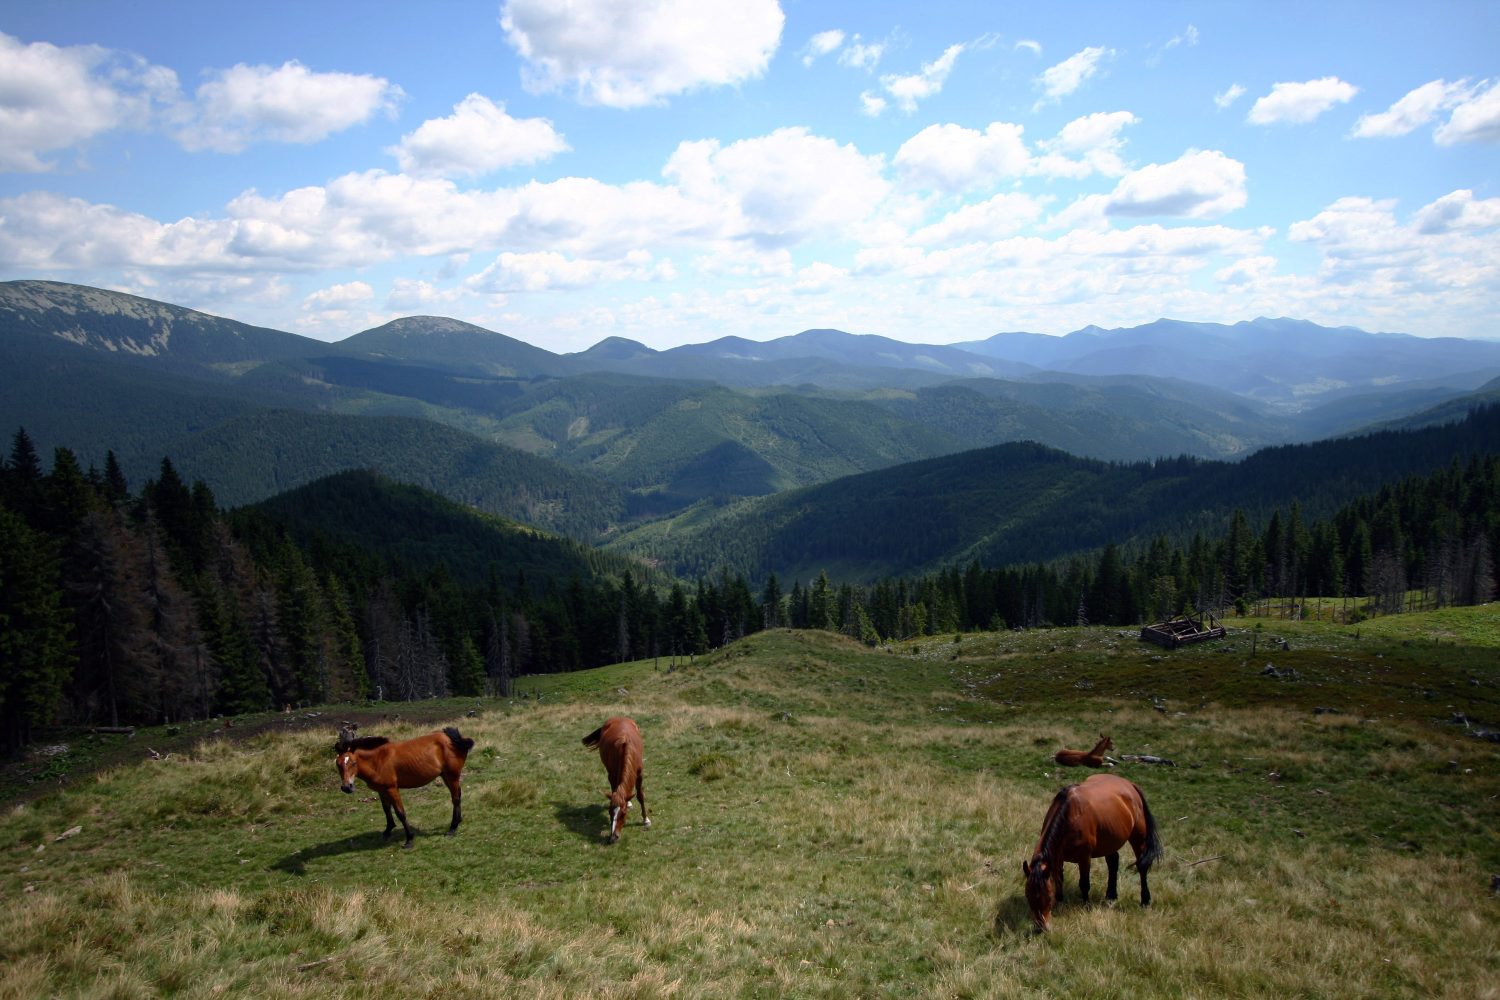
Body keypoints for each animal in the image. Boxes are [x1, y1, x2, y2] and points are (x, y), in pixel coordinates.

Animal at [334, 722, 474, 851]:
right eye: (338, 764)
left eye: (353, 763)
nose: (347, 787)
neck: (378, 760)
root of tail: (454, 739)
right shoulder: (381, 790)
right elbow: (386, 809)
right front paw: (388, 831)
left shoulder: (392, 789)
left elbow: (400, 813)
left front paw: (409, 839)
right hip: (445, 776)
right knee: (457, 796)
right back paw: (458, 821)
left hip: (452, 776)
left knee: (455, 798)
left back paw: (452, 828)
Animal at [1020, 773, 1158, 929]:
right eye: (1028, 896)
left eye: (1048, 897)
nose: (1040, 927)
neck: (1070, 815)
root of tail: (1130, 785)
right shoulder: (1058, 858)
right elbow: (1059, 880)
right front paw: (1060, 901)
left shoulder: (1084, 858)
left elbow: (1084, 883)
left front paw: (1086, 905)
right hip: (1110, 839)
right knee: (1113, 862)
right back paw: (1111, 896)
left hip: (1138, 837)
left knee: (1141, 866)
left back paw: (1145, 900)